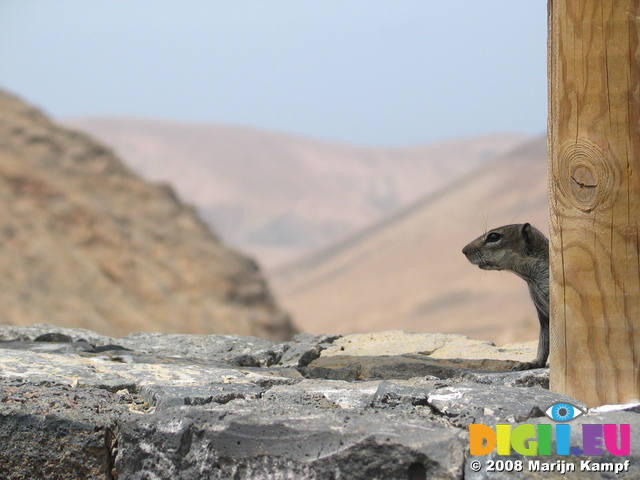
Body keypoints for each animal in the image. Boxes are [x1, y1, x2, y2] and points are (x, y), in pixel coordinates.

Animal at [462, 223, 548, 370]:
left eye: (493, 236)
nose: (464, 250)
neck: (531, 279)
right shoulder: (543, 312)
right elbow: (544, 340)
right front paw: (532, 363)